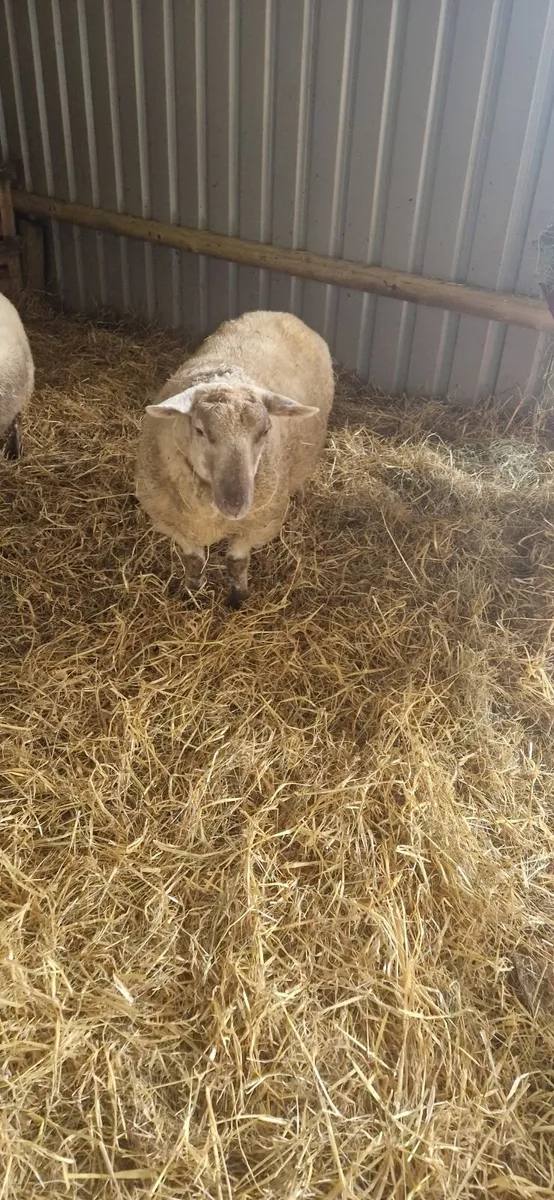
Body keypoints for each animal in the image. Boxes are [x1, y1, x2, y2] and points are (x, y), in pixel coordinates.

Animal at [136, 310, 334, 607]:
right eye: (200, 430)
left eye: (265, 430)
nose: (236, 504)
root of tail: (279, 313)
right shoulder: (172, 523)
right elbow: (193, 560)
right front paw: (192, 593)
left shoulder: (258, 526)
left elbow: (236, 562)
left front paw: (238, 598)